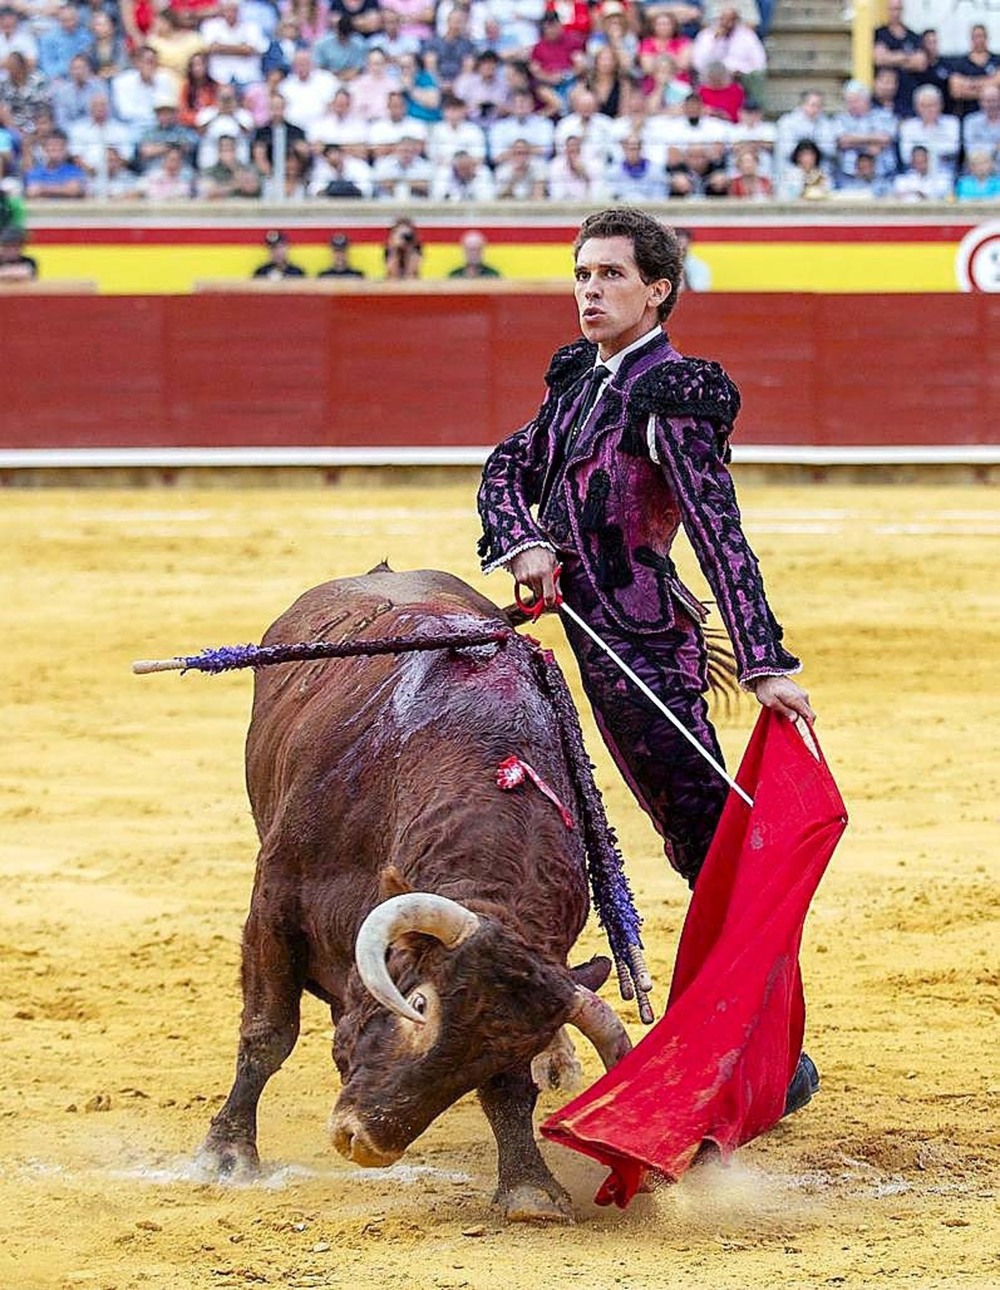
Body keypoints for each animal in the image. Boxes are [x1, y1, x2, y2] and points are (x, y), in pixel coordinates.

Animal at [196, 570, 634, 1222]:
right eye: (419, 1004)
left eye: (492, 1054)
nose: (367, 1142)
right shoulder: (274, 904)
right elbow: (267, 1033)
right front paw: (226, 1155)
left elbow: (512, 1091)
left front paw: (530, 1187)